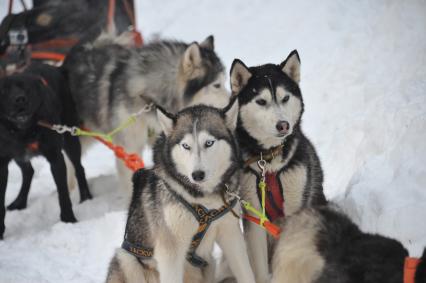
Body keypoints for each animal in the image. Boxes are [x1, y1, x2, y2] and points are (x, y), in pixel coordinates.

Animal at [0, 63, 91, 240]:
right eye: (4, 90)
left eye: (26, 88)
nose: (19, 99)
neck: (25, 131)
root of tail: (57, 68)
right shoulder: (2, 163)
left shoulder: (56, 157)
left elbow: (63, 193)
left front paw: (68, 220)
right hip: (19, 155)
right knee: (28, 171)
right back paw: (20, 202)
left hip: (70, 137)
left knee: (79, 168)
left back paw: (86, 197)